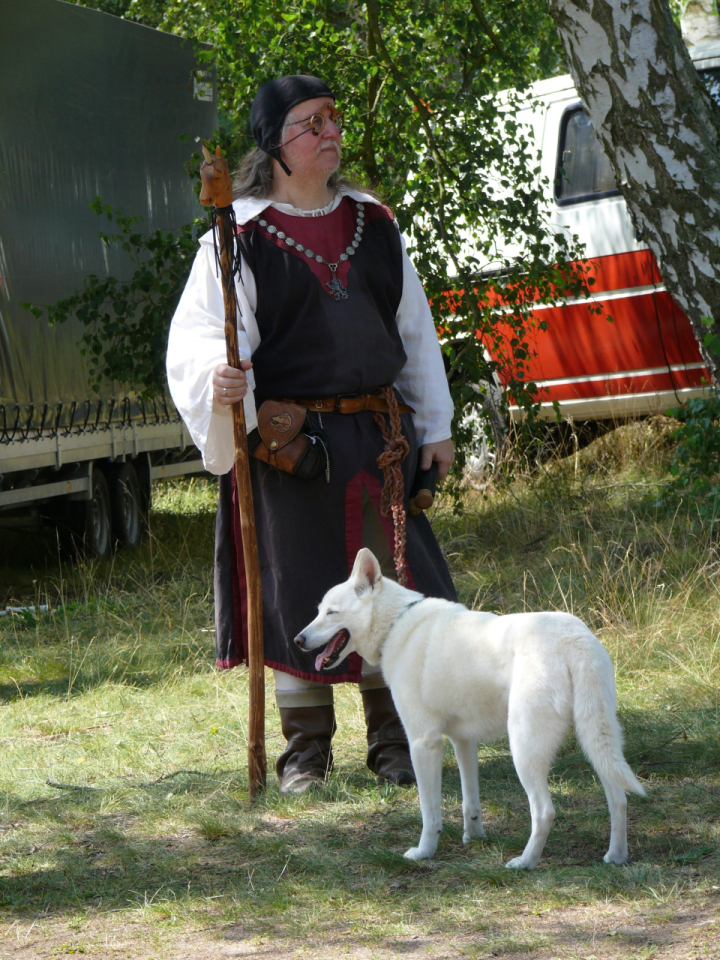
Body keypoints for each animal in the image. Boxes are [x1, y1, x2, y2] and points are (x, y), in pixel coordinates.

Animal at [295, 548, 645, 869]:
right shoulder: (463, 742)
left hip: (524, 748)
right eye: (318, 611)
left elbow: (429, 812)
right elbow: (469, 800)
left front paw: (424, 852)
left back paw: (525, 862)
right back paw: (616, 857)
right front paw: (473, 837)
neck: (396, 623)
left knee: (545, 811)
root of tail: (573, 640)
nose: (298, 640)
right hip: (596, 741)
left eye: (331, 613)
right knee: (618, 799)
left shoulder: (423, 744)